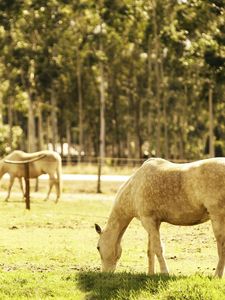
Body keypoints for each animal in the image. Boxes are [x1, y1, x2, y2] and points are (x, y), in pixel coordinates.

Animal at [96, 158, 225, 278]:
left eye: (98, 247)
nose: (105, 273)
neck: (135, 187)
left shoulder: (148, 221)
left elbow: (158, 248)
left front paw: (164, 273)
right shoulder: (153, 223)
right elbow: (150, 250)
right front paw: (150, 274)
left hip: (218, 219)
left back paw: (217, 276)